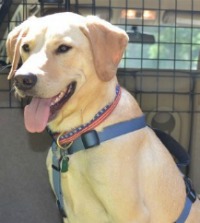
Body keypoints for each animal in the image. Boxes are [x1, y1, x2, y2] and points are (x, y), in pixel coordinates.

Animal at [5, 12, 200, 223]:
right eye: (25, 47)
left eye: (63, 48)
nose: (22, 79)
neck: (84, 130)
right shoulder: (69, 212)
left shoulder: (131, 213)